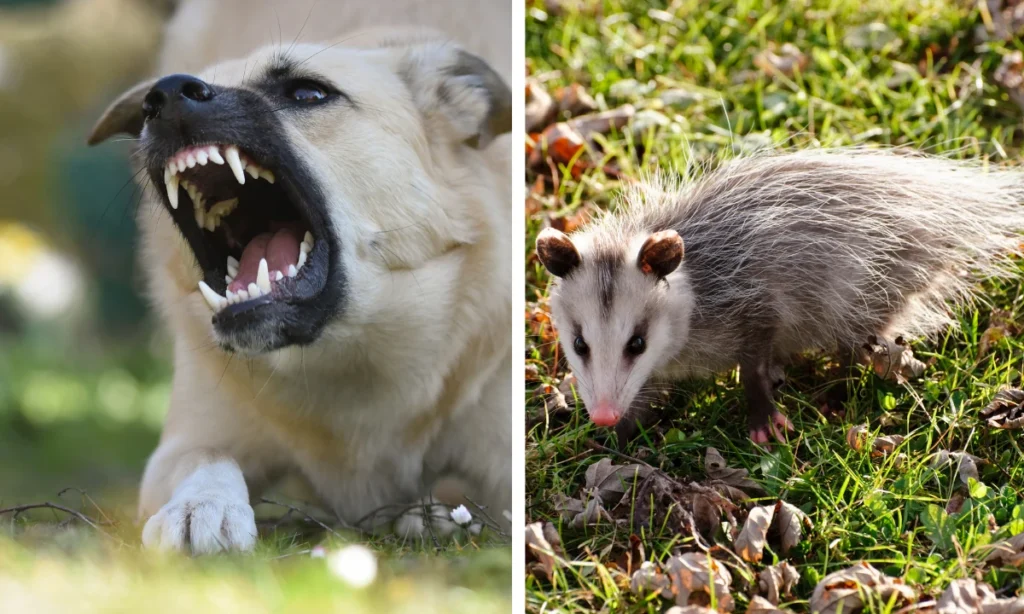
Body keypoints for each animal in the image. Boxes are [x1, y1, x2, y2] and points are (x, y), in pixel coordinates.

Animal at [88, 1, 512, 556]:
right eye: (147, 108)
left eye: (308, 93)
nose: (164, 96)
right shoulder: (187, 442)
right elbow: (208, 461)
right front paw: (202, 507)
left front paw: (436, 512)